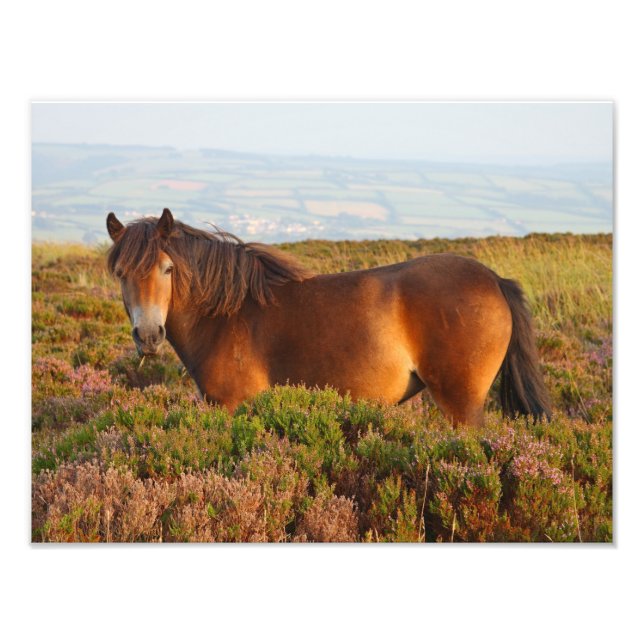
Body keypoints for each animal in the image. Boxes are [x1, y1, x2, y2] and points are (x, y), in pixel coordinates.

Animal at [106, 208, 551, 426]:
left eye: (168, 269)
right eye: (121, 273)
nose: (149, 335)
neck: (227, 315)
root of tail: (494, 280)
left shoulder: (233, 407)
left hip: (463, 405)